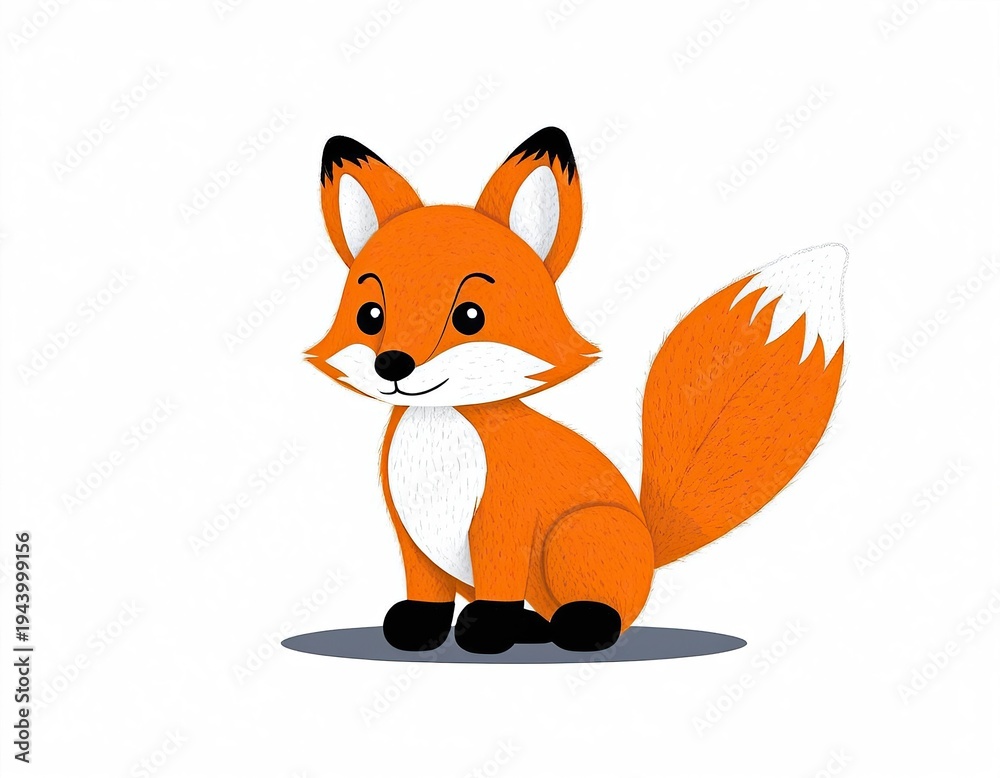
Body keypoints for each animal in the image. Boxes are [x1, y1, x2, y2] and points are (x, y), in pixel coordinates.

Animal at [306, 127, 846, 655]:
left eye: (470, 316)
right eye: (370, 315)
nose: (392, 364)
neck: (440, 444)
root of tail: (649, 546)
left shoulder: (504, 523)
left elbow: (498, 588)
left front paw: (487, 632)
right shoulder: (411, 535)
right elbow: (425, 593)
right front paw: (419, 629)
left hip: (577, 533)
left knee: (604, 614)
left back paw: (580, 626)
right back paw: (532, 627)